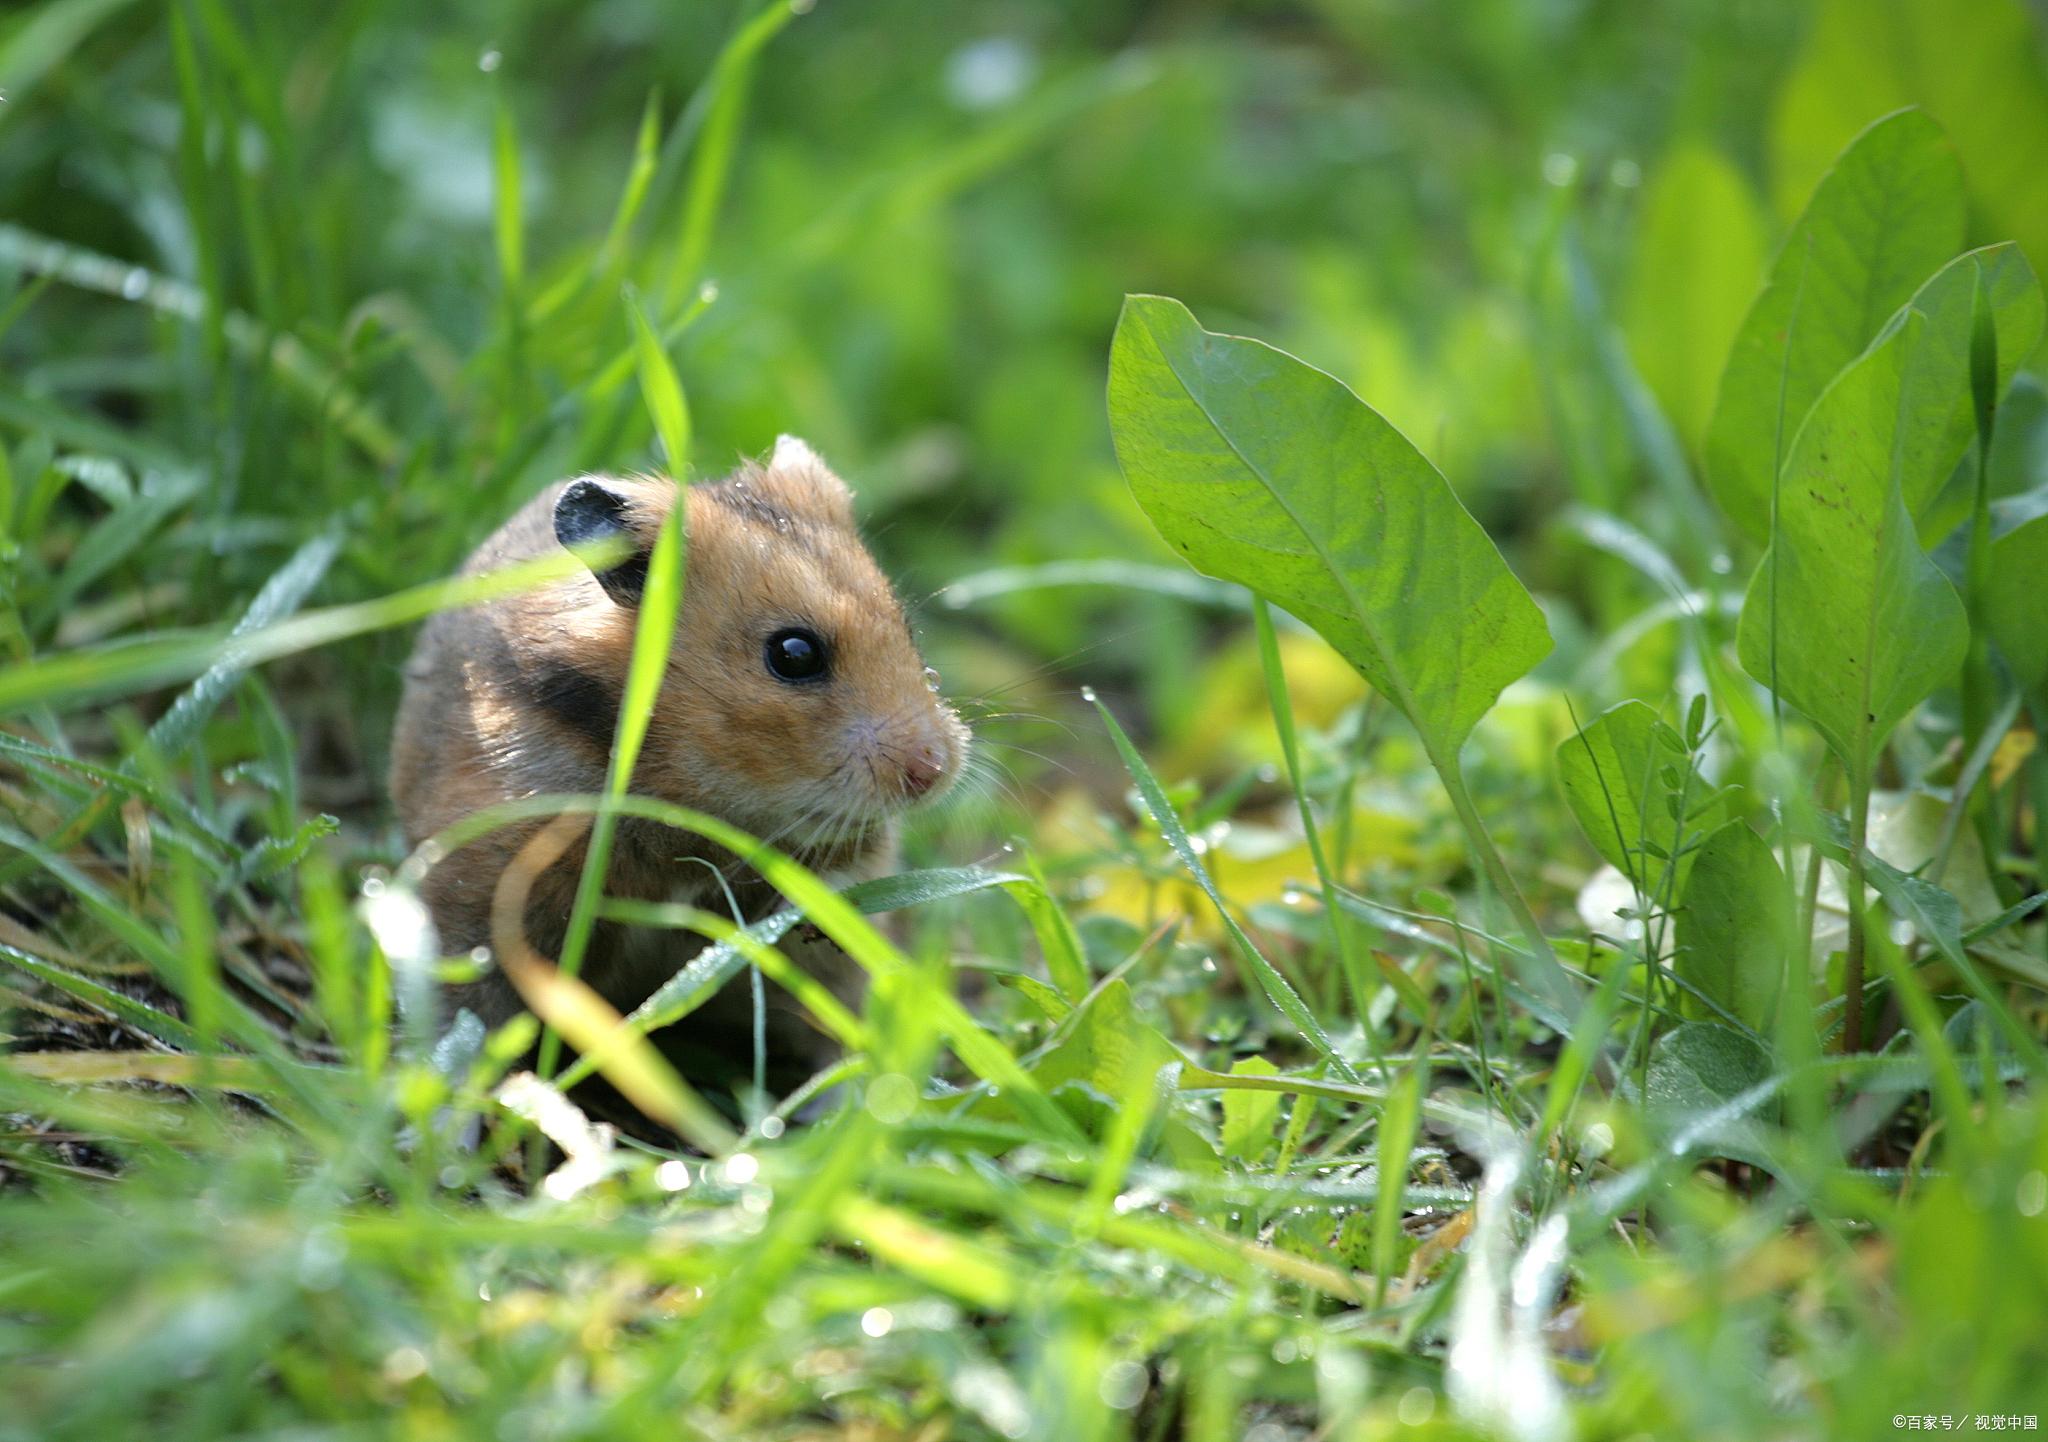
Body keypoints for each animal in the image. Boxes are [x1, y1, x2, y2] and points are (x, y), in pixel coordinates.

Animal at [389, 434, 966, 1089]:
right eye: (794, 654)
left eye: (907, 629)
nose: (933, 771)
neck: (695, 799)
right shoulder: (483, 892)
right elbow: (465, 1018)